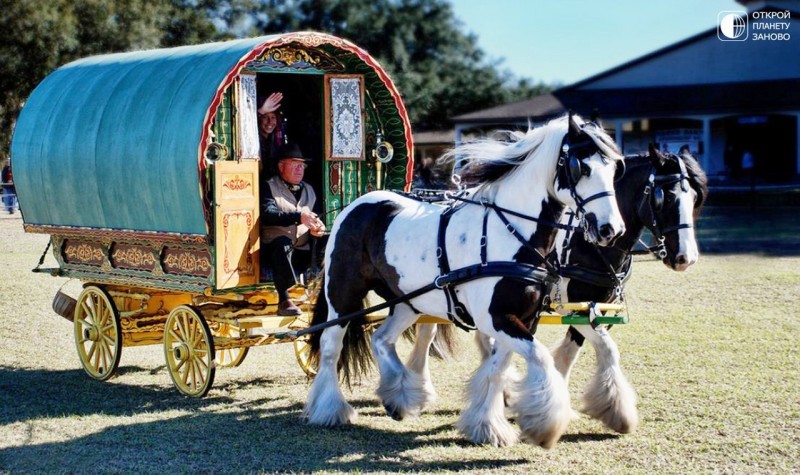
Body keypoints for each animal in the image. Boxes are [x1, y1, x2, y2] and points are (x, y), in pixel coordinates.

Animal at [304, 115, 624, 450]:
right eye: (580, 168)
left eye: (615, 169)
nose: (610, 229)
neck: (511, 232)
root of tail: (355, 204)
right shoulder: (496, 318)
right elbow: (539, 357)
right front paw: (544, 426)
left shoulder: (520, 318)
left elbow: (499, 369)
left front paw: (487, 424)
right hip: (342, 295)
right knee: (330, 345)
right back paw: (331, 408)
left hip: (408, 302)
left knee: (381, 338)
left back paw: (400, 395)